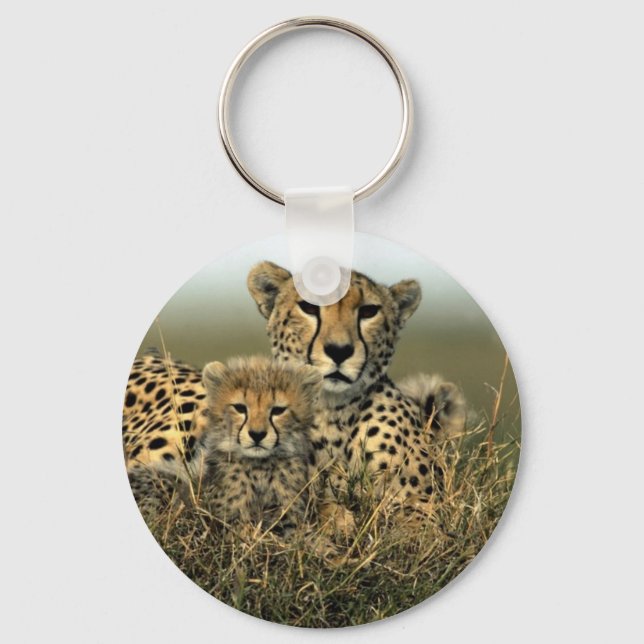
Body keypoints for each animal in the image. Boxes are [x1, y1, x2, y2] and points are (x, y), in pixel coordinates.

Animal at [127, 355, 322, 535]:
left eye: (278, 410)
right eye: (240, 408)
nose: (257, 434)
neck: (260, 467)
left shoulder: (289, 519)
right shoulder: (227, 520)